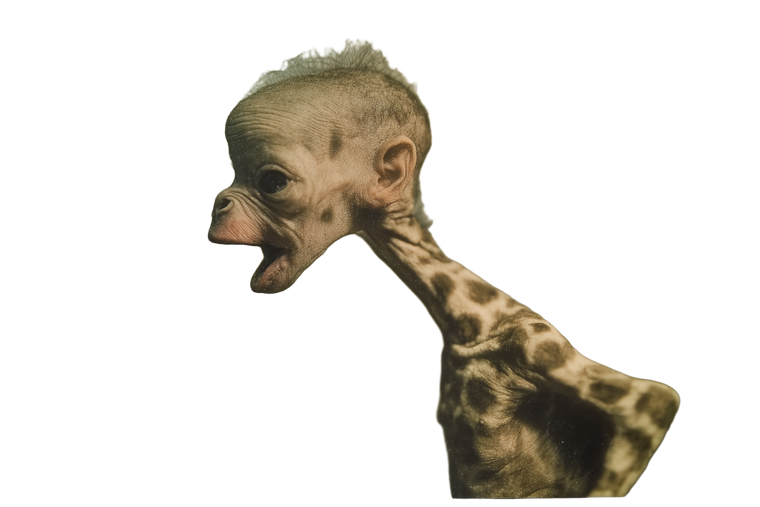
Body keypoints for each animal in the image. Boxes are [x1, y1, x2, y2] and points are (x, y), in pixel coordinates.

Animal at [205, 37, 683, 500]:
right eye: (233, 173)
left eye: (273, 182)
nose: (218, 203)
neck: (468, 317)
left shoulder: (538, 346)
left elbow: (659, 400)